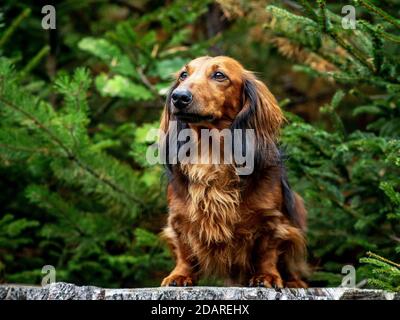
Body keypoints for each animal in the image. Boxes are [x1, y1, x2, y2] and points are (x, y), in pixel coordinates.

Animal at [158, 55, 308, 288]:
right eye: (183, 74)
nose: (179, 97)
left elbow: (267, 251)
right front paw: (179, 275)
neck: (211, 154)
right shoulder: (178, 218)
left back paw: (294, 282)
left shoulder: (271, 220)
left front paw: (266, 276)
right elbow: (185, 250)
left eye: (219, 75)